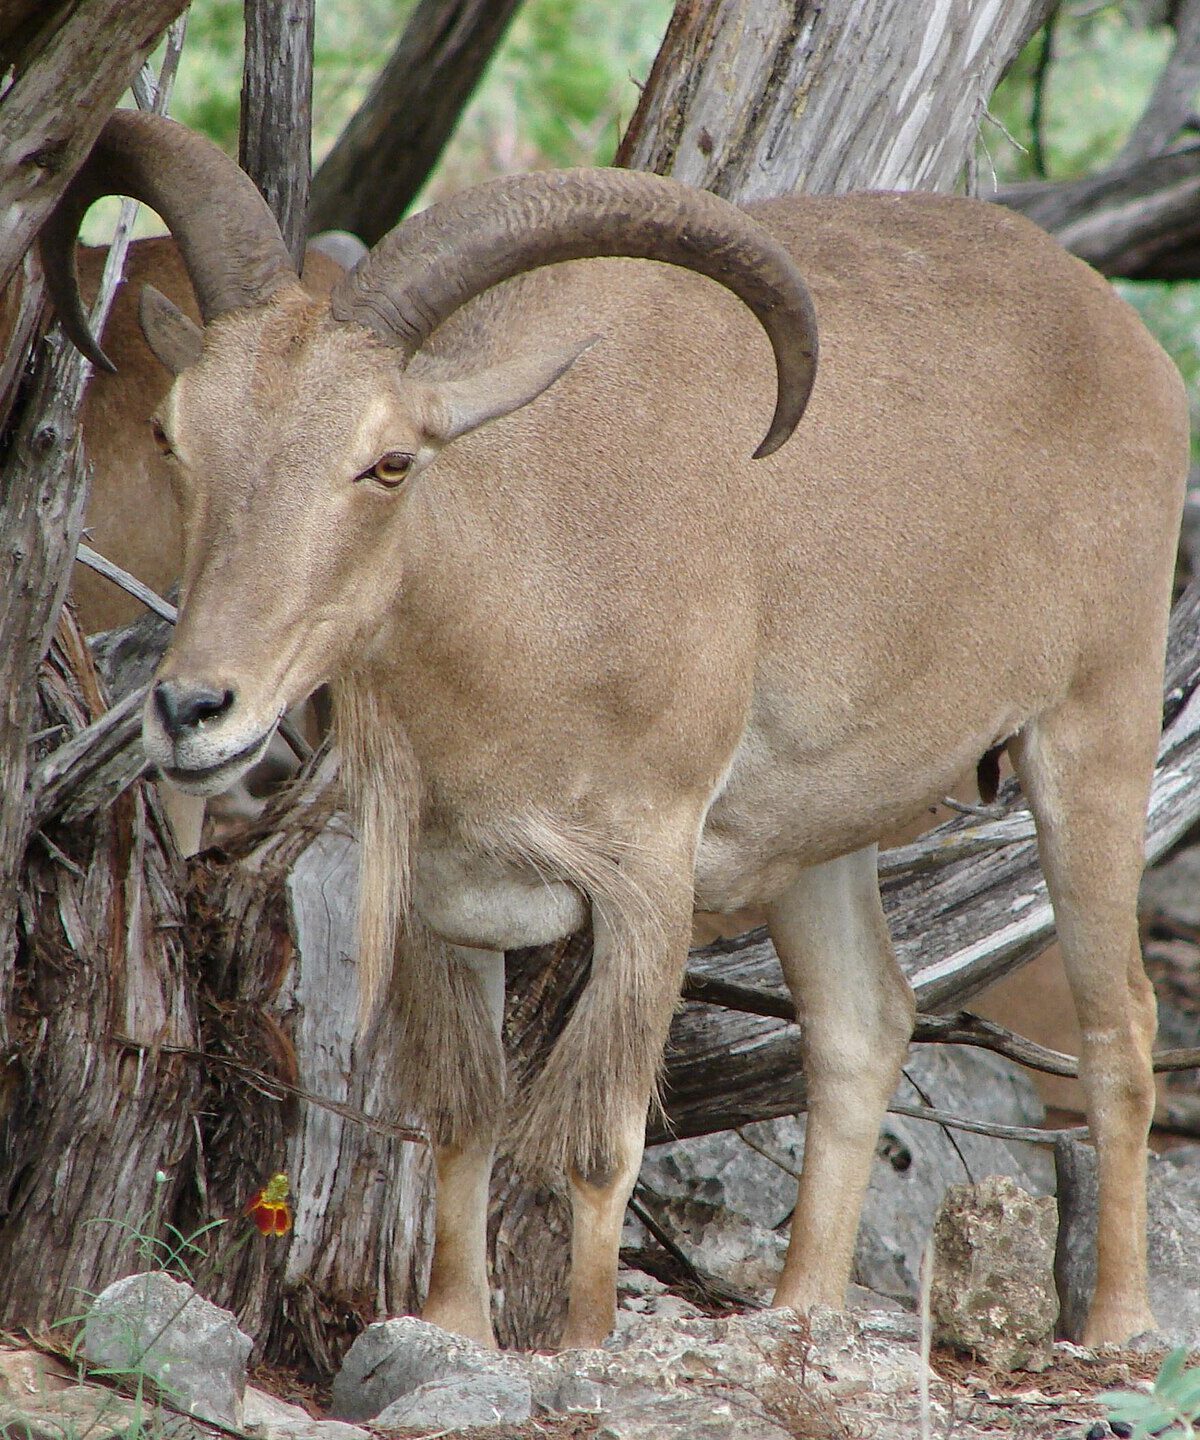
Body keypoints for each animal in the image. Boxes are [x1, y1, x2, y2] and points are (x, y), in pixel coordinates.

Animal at [43, 108, 1187, 1350]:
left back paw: (1118, 1325)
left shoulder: (650, 870)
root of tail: (1127, 339)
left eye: (389, 460)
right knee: (864, 1025)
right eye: (175, 433)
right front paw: (454, 1326)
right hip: (817, 830)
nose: (194, 709)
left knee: (1121, 1028)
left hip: (1098, 722)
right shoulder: (451, 891)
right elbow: (465, 1117)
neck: (532, 574)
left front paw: (580, 1347)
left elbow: (598, 1143)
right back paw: (801, 1311)